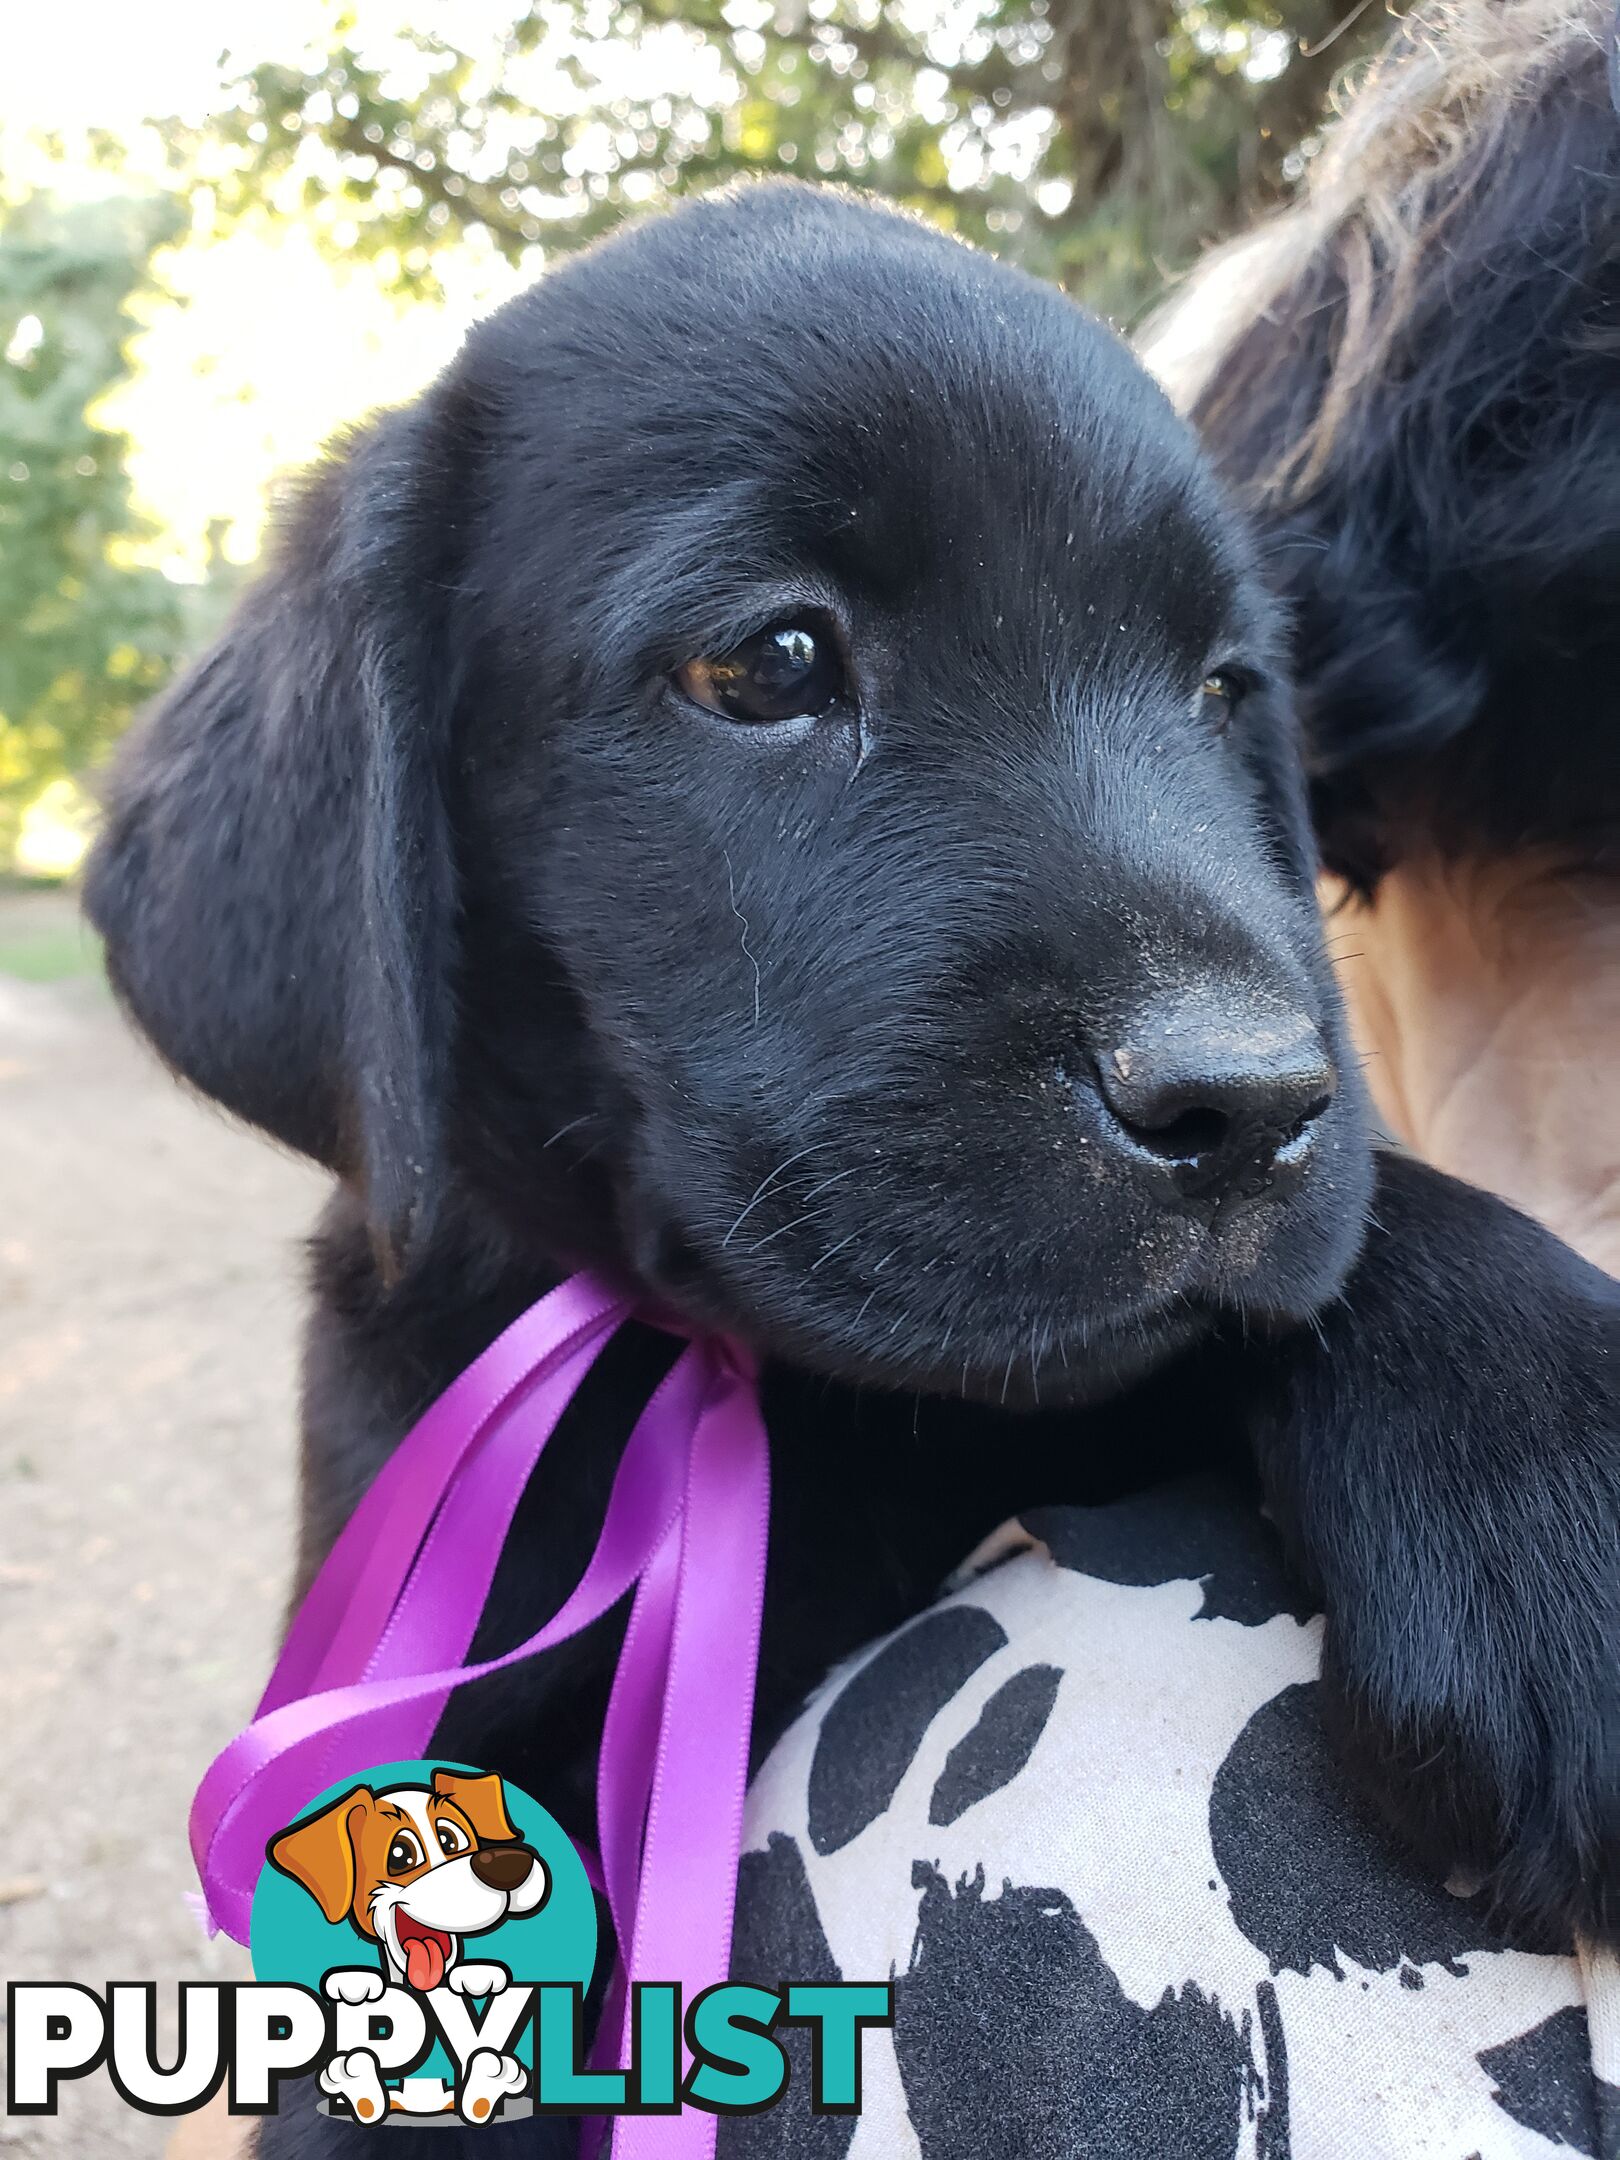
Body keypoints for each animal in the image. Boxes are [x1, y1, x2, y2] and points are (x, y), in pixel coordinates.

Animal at [85, 181, 1615, 2142]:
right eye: (774, 663)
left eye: (1223, 689)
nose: (1249, 1097)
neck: (739, 1392)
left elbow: (1359, 1242)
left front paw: (1551, 1474)